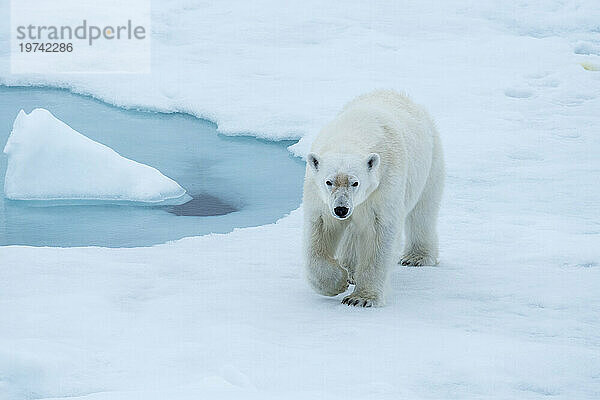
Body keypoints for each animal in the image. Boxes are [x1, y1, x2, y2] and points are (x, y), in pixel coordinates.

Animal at [302, 90, 442, 306]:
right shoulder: (318, 196)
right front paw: (338, 281)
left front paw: (360, 298)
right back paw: (350, 269)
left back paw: (417, 257)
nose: (341, 209)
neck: (353, 132)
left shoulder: (385, 183)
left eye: (355, 182)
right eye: (328, 181)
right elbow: (321, 229)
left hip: (430, 163)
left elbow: (379, 233)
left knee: (423, 211)